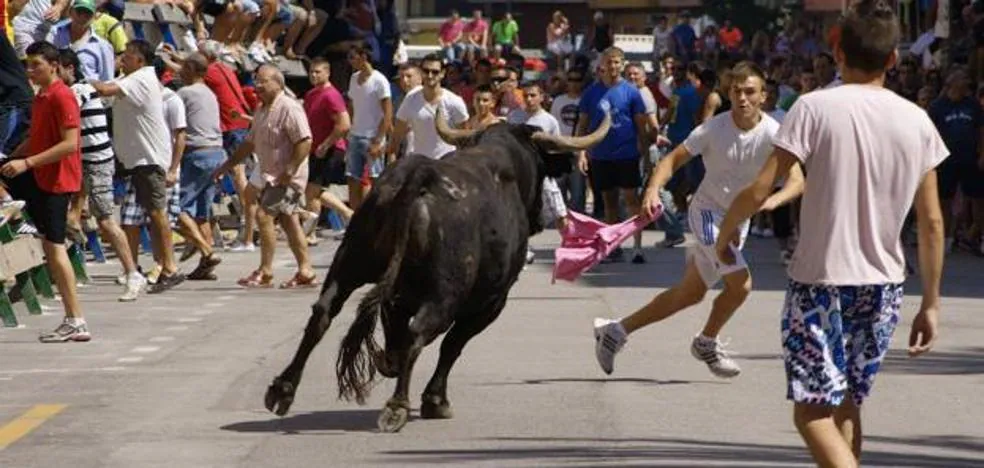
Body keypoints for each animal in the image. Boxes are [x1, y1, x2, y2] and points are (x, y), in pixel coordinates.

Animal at [266, 111, 612, 434]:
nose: (541, 217)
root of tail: (422, 176)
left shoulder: (399, 294)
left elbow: (399, 333)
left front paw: (389, 362)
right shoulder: (491, 302)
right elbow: (452, 345)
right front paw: (435, 400)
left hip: (350, 263)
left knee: (323, 313)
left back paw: (282, 390)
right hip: (445, 292)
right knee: (421, 332)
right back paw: (397, 406)